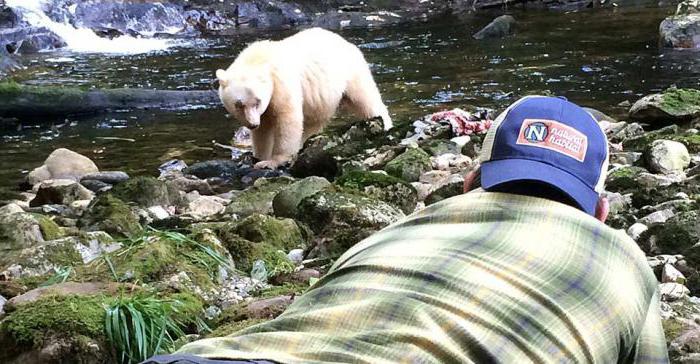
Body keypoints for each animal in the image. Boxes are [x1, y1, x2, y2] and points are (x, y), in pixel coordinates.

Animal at [216, 27, 392, 169]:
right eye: (239, 104)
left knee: (366, 100)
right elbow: (264, 129)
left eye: (257, 102)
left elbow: (288, 120)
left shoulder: (282, 85)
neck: (258, 60)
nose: (252, 124)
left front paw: (272, 161)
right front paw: (258, 157)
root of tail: (346, 42)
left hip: (350, 73)